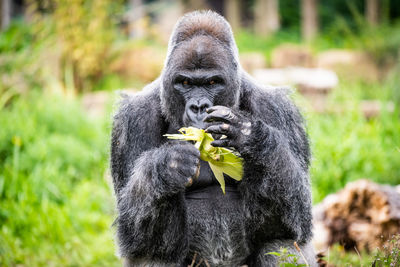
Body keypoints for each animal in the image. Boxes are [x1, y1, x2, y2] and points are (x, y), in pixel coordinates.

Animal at [111, 9, 318, 266]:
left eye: (212, 82)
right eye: (185, 82)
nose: (199, 107)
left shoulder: (277, 108)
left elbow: (294, 220)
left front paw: (251, 137)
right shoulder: (133, 119)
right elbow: (136, 235)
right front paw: (168, 167)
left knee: (281, 243)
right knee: (156, 254)